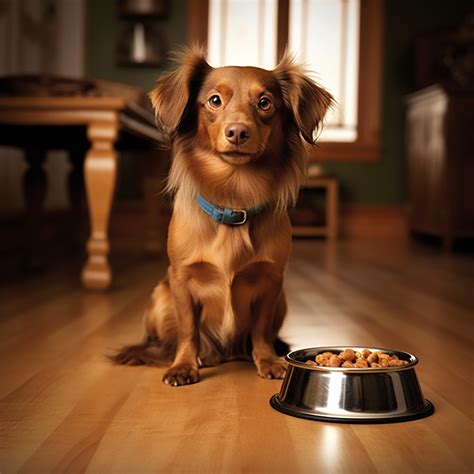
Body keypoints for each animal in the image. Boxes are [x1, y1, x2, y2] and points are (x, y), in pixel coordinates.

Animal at [111, 47, 334, 386]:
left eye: (265, 103)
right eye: (215, 100)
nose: (238, 132)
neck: (235, 195)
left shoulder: (271, 281)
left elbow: (260, 329)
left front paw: (267, 360)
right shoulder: (181, 279)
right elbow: (188, 329)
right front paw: (183, 365)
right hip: (160, 296)